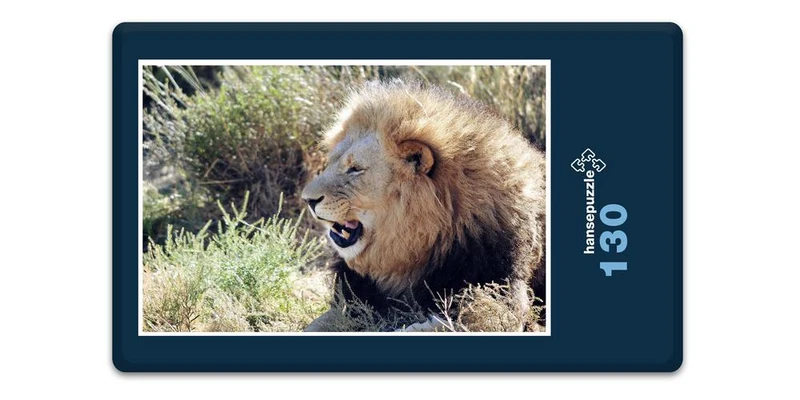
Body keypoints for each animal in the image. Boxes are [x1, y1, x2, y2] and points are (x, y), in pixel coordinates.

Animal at [301, 80, 546, 332]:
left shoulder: (503, 299)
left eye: (355, 169)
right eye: (331, 163)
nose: (307, 200)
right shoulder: (353, 298)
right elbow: (316, 324)